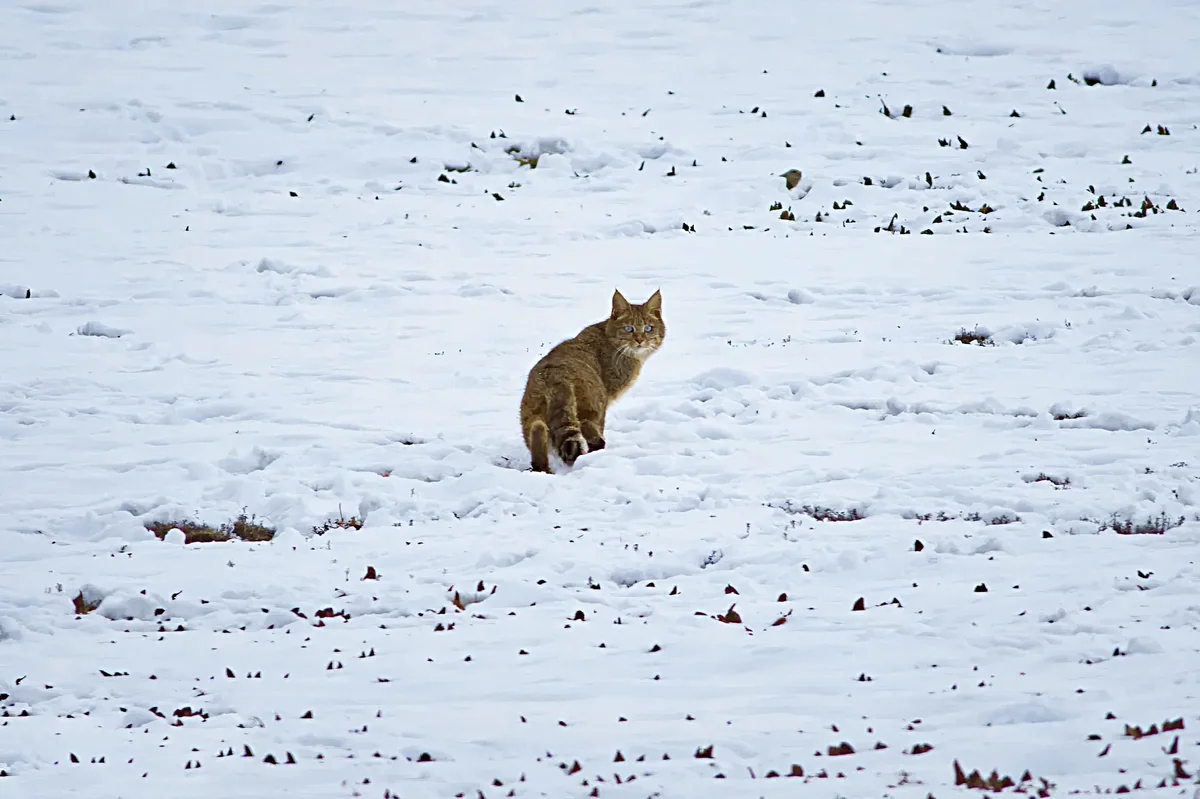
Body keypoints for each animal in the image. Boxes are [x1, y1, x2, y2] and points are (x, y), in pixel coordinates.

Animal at [518, 287, 667, 470]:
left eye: (648, 328)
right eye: (628, 329)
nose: (640, 340)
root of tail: (555, 375)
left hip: (530, 414)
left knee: (538, 435)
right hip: (592, 407)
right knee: (589, 434)